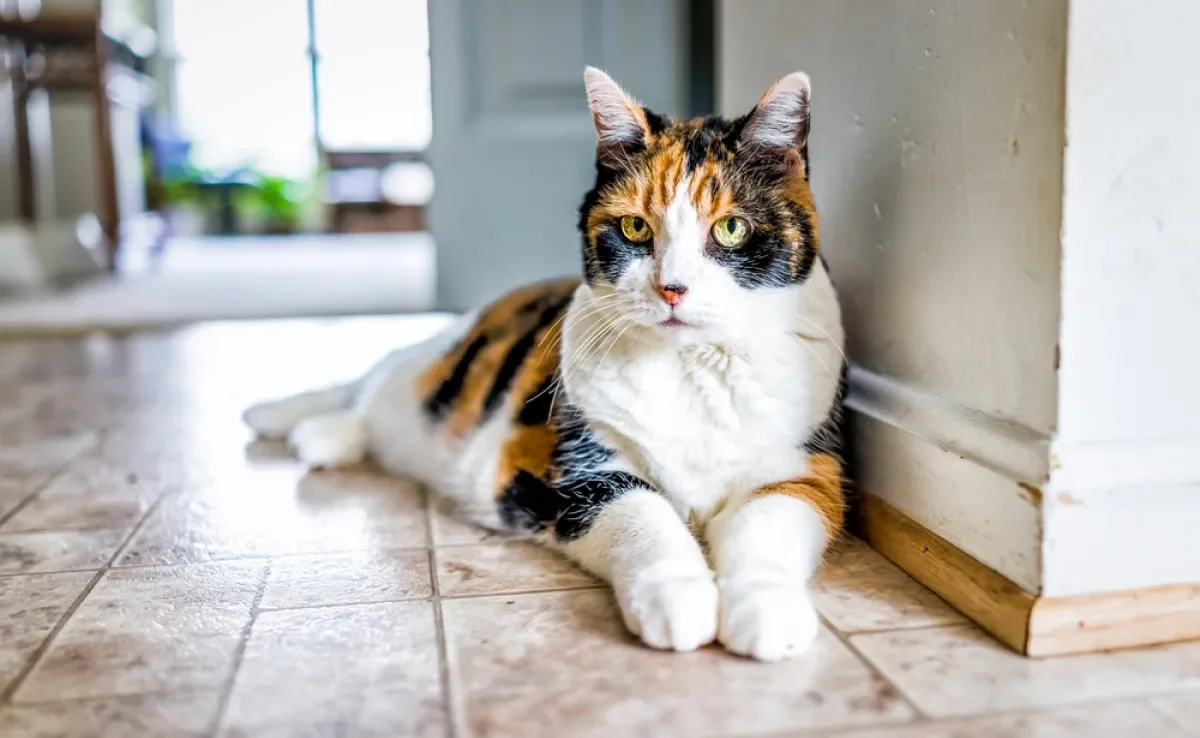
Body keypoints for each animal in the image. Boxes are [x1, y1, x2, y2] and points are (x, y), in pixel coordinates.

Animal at [243, 66, 844, 662]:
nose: (672, 288)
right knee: (373, 381)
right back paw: (302, 428)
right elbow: (645, 519)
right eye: (634, 229)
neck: (689, 368)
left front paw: (766, 611)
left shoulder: (804, 468)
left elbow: (766, 527)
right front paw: (677, 601)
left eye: (732, 229)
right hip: (422, 374)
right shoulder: (576, 472)